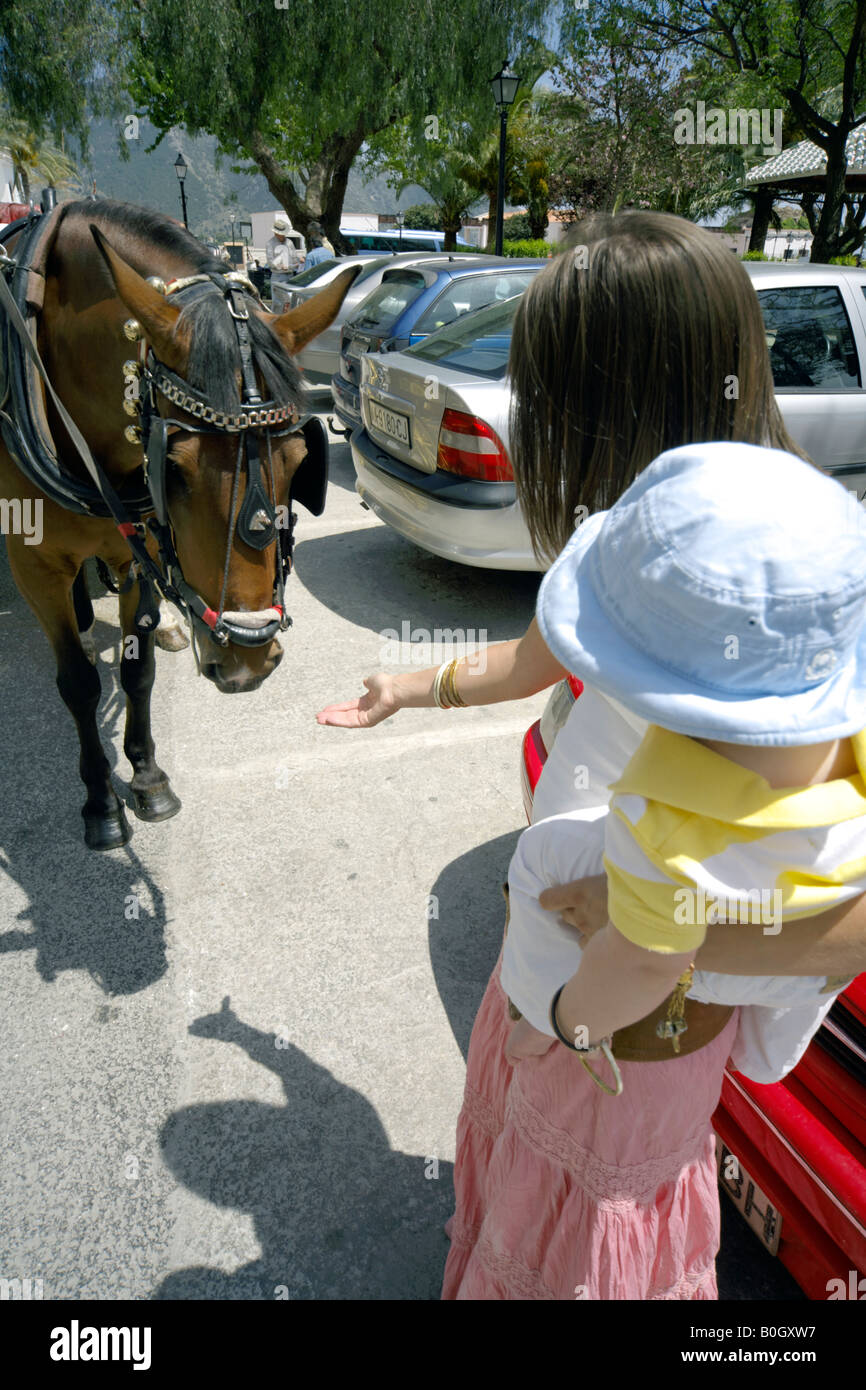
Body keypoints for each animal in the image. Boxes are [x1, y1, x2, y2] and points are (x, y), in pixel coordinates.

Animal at [0, 195, 358, 845]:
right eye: (174, 469)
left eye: (300, 461)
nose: (247, 663)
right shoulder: (32, 561)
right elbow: (79, 684)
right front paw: (101, 802)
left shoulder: (138, 543)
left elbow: (137, 671)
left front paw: (146, 776)